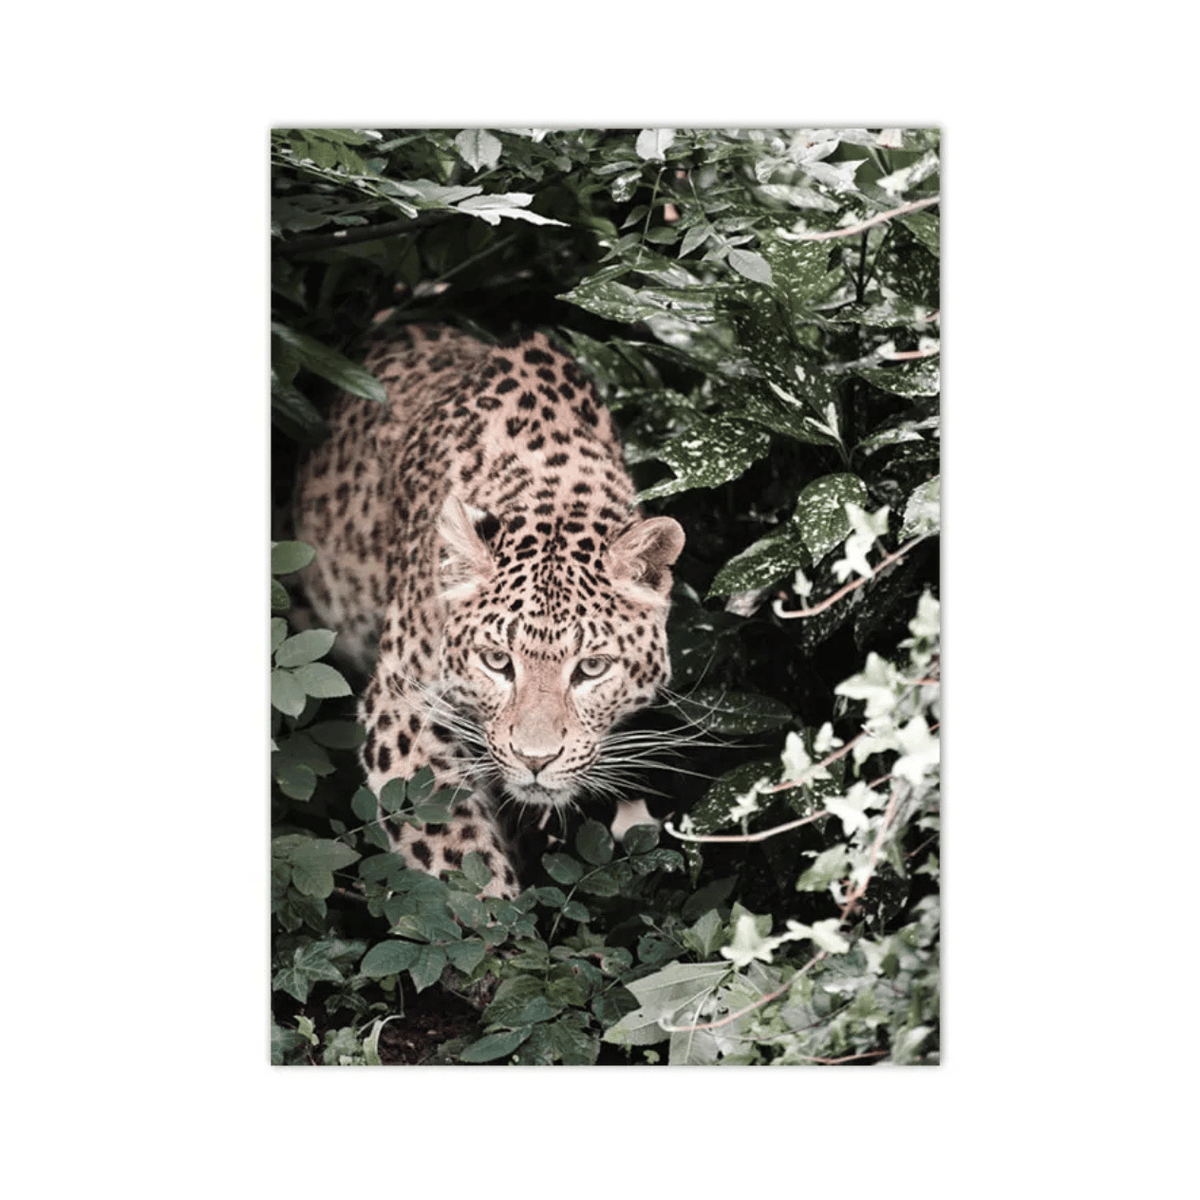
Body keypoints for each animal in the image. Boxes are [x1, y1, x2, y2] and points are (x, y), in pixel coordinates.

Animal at [293, 323, 685, 900]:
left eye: (591, 668)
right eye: (497, 661)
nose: (535, 760)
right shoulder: (402, 707)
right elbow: (455, 857)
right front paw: (493, 913)